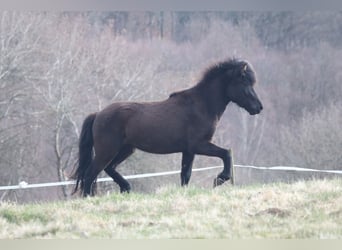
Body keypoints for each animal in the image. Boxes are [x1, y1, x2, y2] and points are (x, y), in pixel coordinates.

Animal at [72, 59, 264, 197]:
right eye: (245, 82)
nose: (258, 107)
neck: (202, 105)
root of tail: (98, 114)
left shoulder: (188, 151)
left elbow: (185, 175)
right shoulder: (199, 145)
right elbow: (226, 154)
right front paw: (220, 179)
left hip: (126, 149)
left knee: (108, 168)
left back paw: (126, 188)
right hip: (108, 150)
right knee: (90, 173)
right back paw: (90, 198)